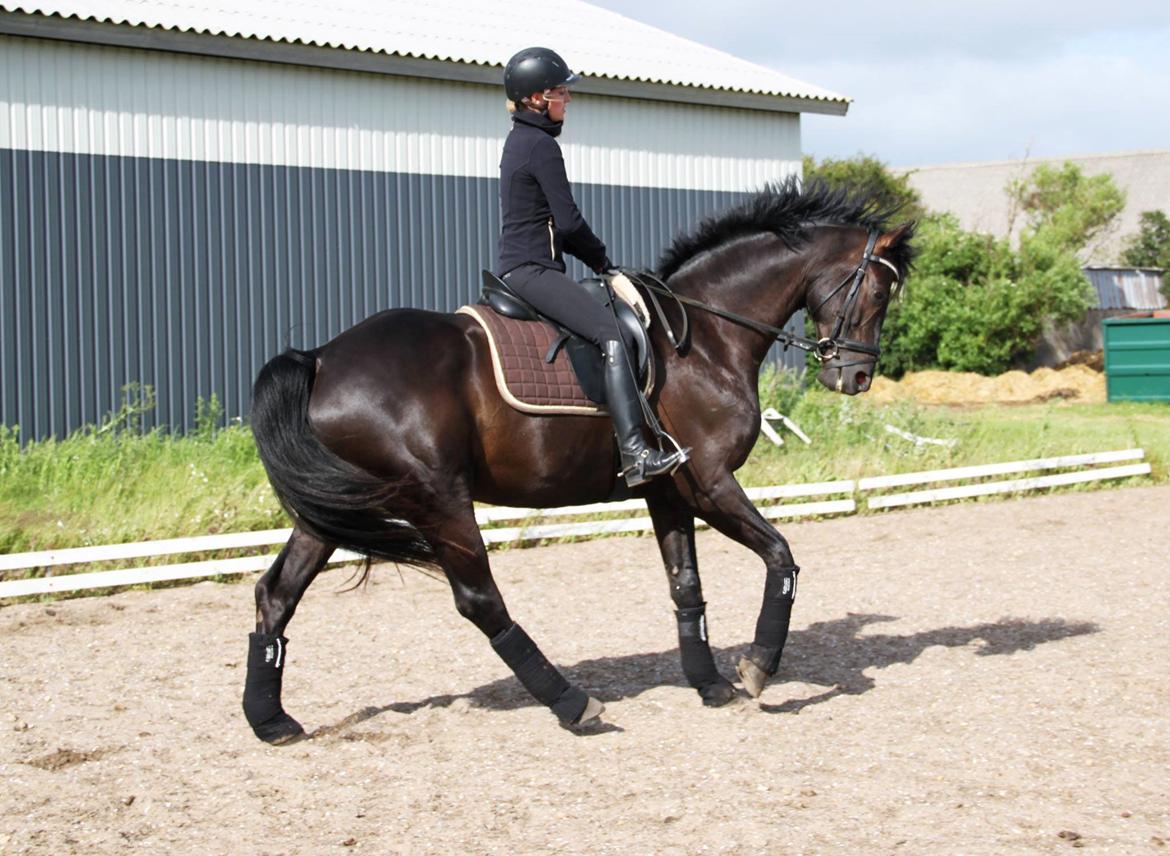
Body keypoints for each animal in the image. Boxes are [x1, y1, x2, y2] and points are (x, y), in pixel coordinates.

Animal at [244, 178, 912, 743]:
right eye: (879, 291)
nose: (855, 377)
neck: (704, 337)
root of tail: (319, 358)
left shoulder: (668, 490)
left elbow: (686, 585)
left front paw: (710, 684)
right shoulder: (710, 482)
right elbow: (782, 557)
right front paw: (757, 667)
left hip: (335, 510)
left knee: (276, 593)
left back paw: (271, 721)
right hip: (437, 501)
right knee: (479, 601)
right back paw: (573, 703)